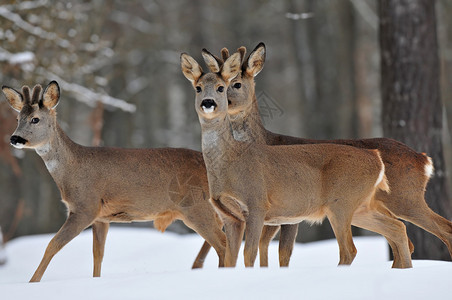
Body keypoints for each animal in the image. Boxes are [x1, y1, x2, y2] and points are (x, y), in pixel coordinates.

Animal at [1, 81, 224, 282]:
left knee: (222, 243)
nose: (14, 139)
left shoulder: (85, 207)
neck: (72, 171)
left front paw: (32, 283)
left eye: (35, 119)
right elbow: (98, 255)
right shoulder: (101, 218)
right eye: (18, 118)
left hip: (197, 206)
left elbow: (52, 245)